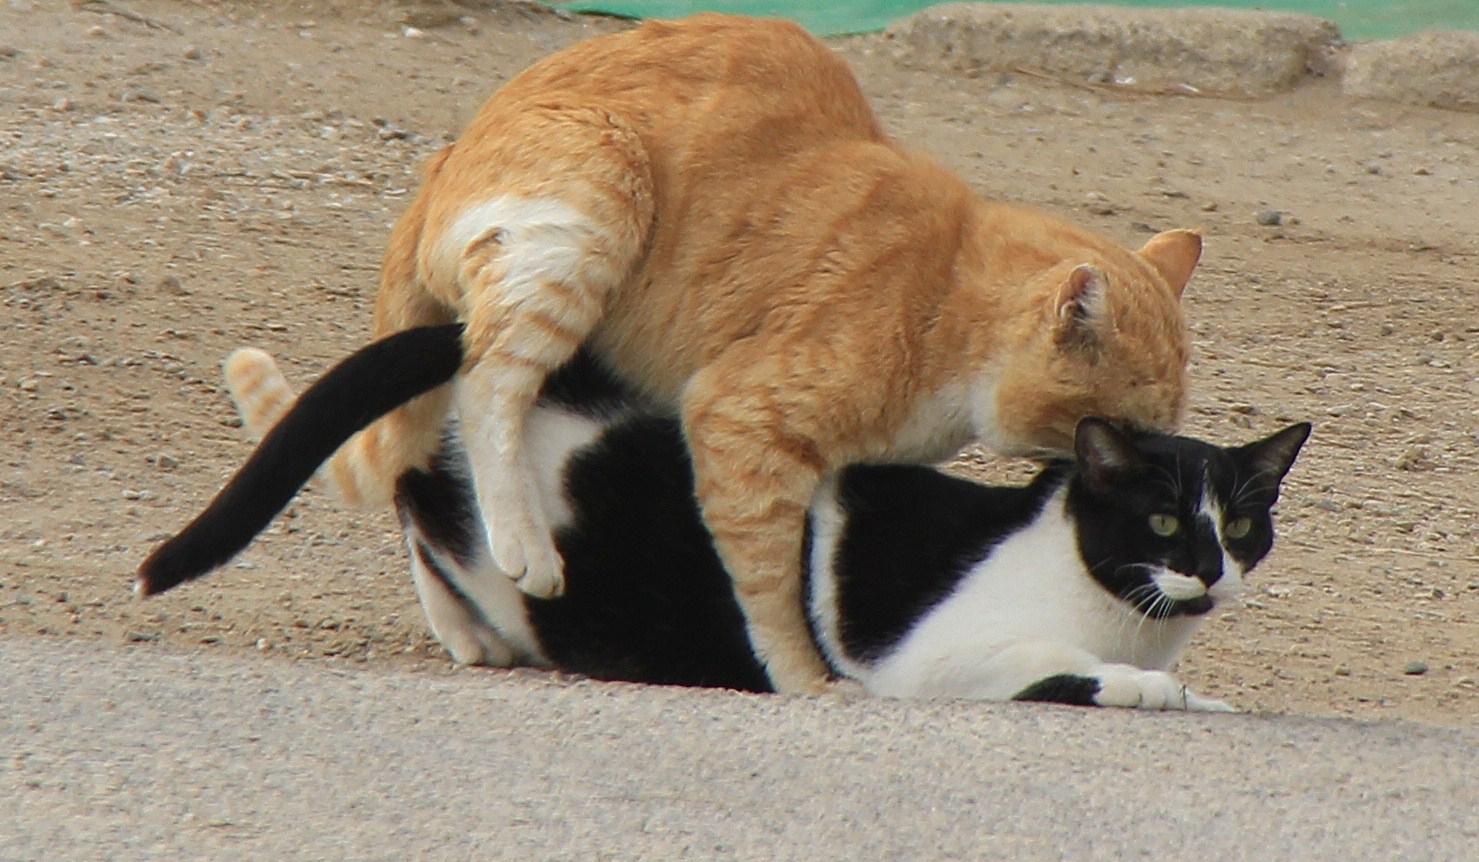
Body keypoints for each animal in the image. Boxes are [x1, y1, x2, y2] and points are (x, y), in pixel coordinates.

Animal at [141, 326, 1307, 712]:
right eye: (1163, 527)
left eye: (1240, 528)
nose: (1209, 571)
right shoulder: (930, 656)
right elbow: (1068, 670)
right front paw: (1156, 689)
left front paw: (1200, 693)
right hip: (496, 524)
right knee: (426, 518)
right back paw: (475, 633)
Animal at [254, 16, 1200, 694]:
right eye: (1125, 422)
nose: (1151, 456)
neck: (946, 296)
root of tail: (444, 158)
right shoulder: (737, 418)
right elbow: (772, 588)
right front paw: (805, 679)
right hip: (593, 206)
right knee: (489, 386)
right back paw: (523, 547)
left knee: (410, 460)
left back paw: (462, 629)